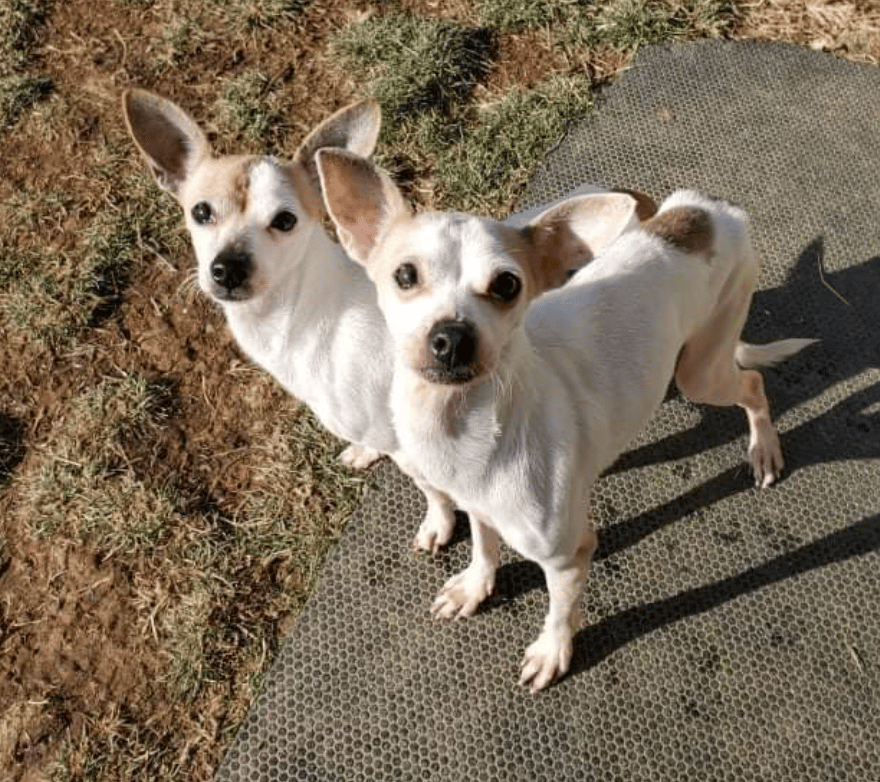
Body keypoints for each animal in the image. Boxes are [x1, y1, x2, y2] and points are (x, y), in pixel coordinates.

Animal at [314, 150, 812, 696]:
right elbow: (484, 548)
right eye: (405, 275)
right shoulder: (479, 509)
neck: (461, 427)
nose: (452, 338)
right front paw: (475, 587)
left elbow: (559, 612)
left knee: (753, 386)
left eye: (507, 284)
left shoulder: (569, 555)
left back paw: (764, 448)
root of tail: (709, 210)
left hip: (702, 371)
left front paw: (552, 652)